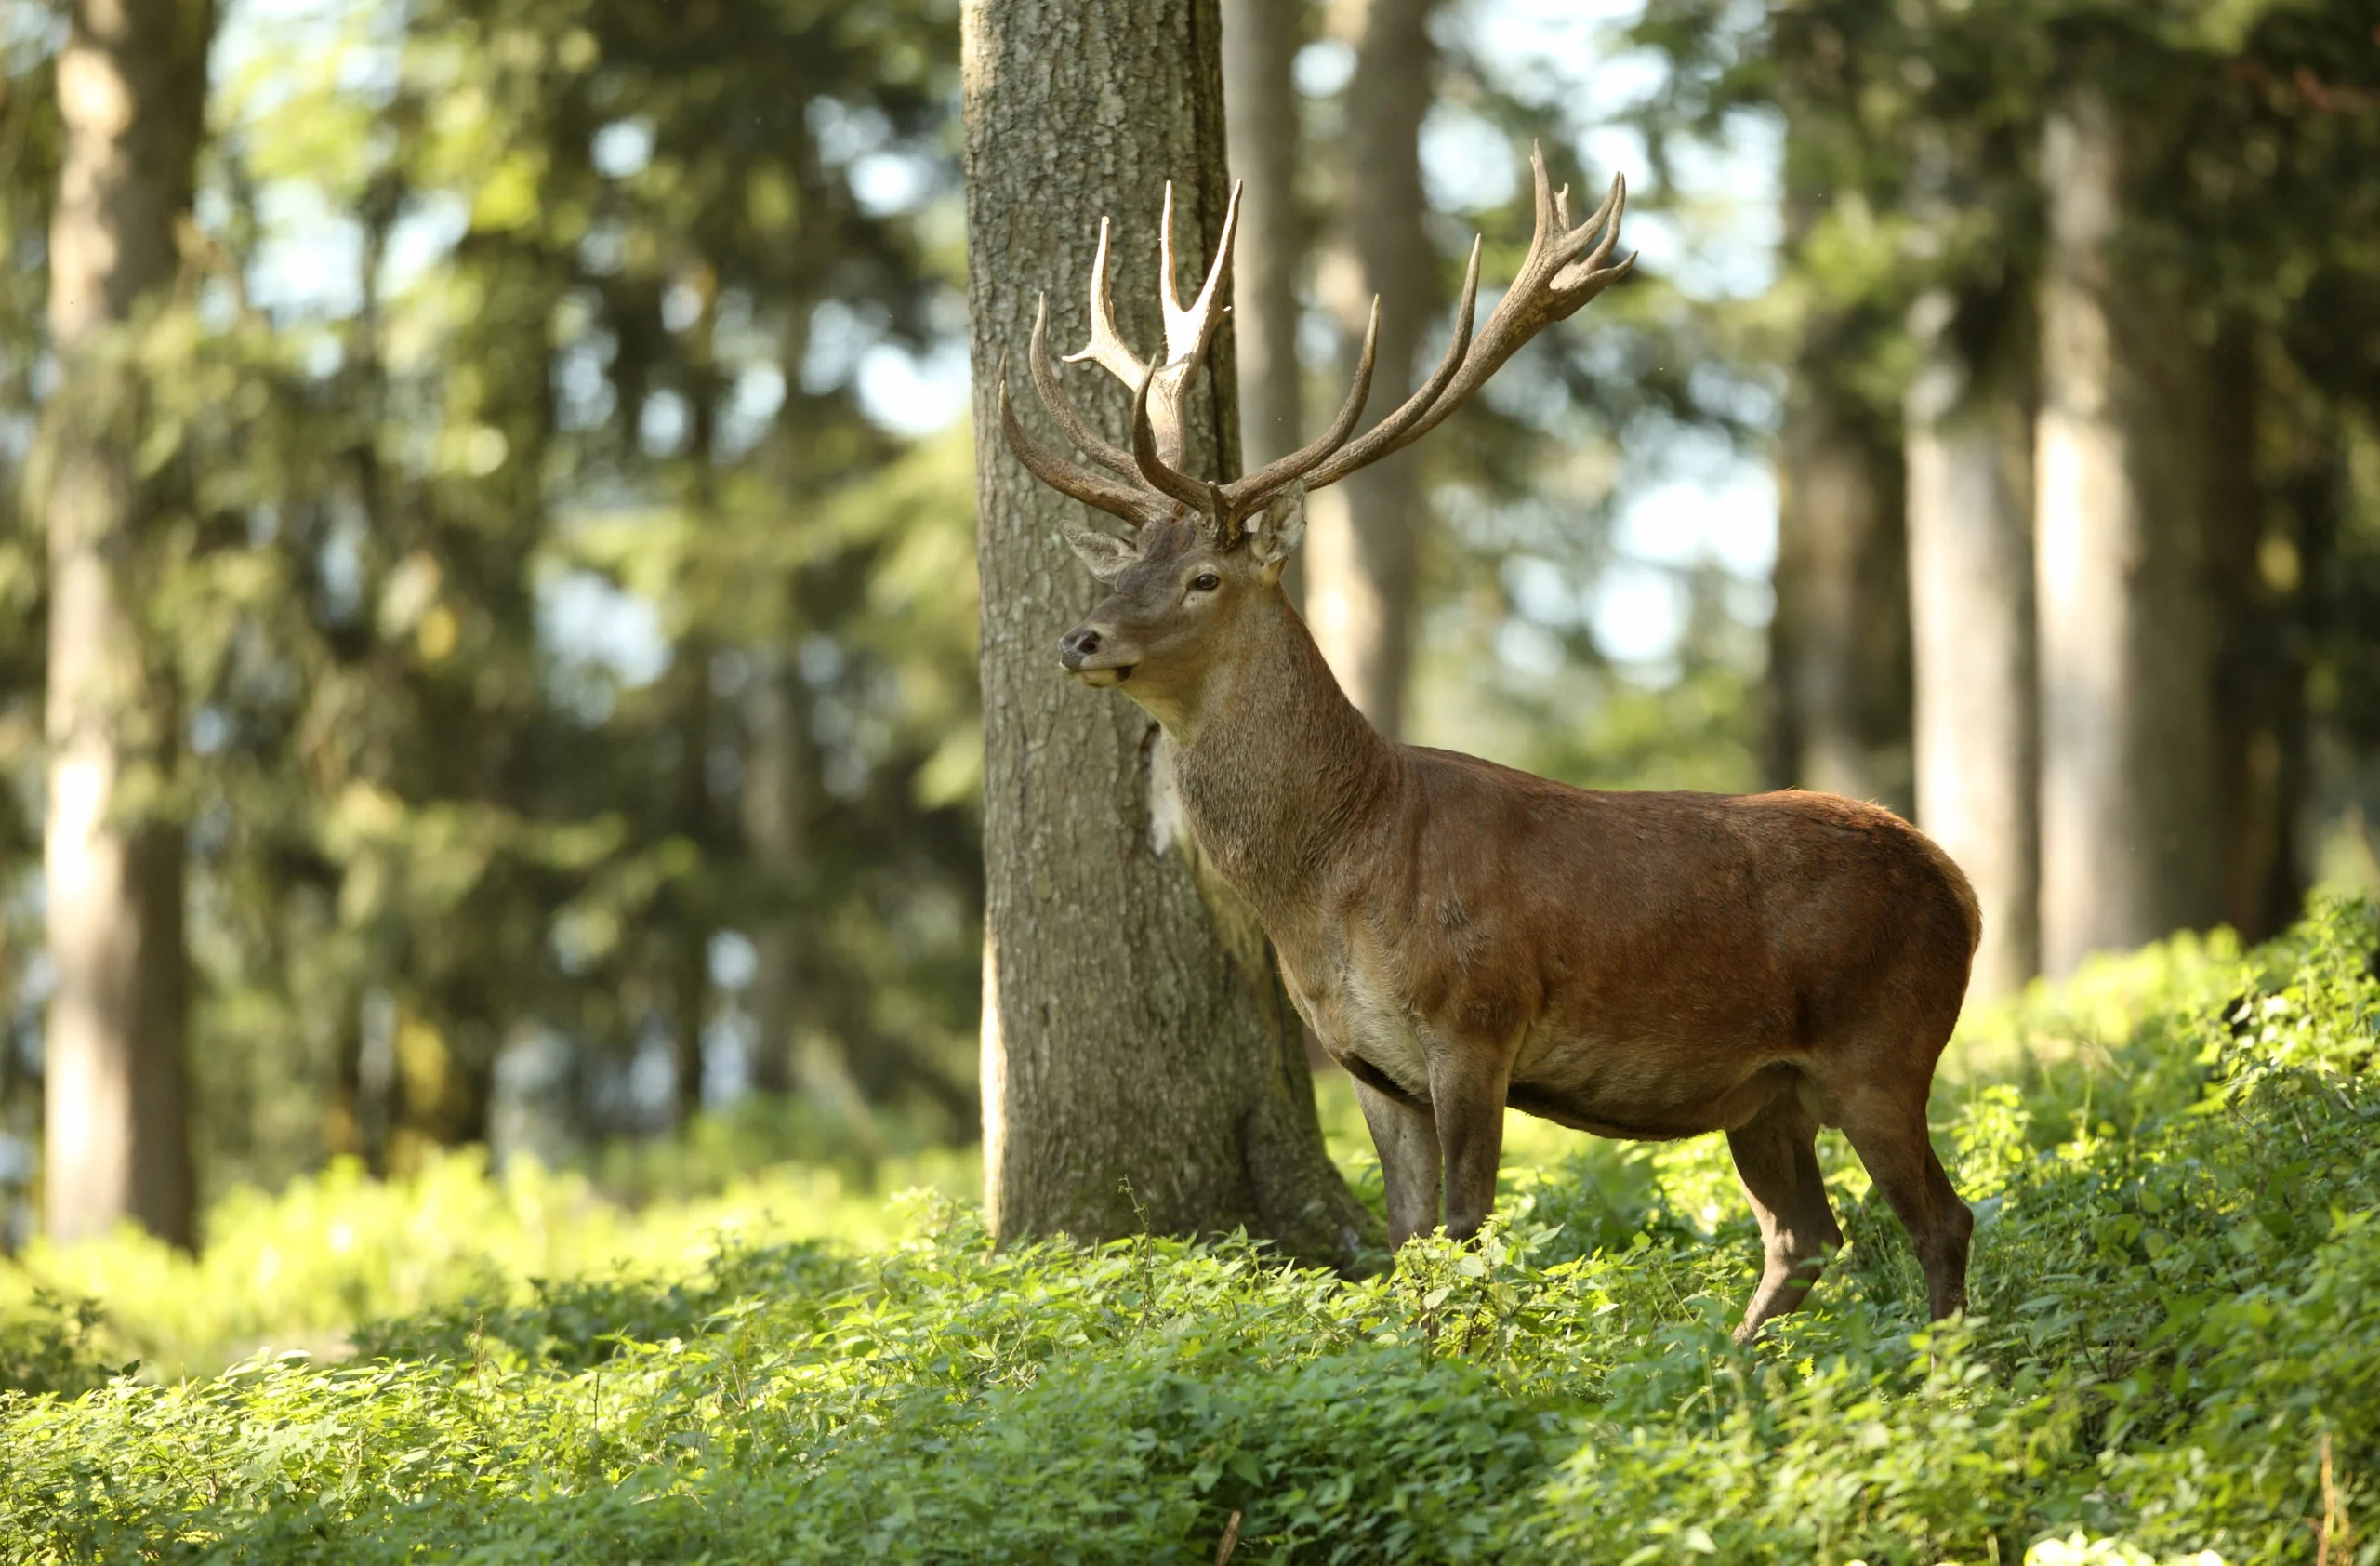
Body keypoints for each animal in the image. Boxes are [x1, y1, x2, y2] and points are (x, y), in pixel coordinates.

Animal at [994, 151, 1978, 1341]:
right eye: (1123, 565)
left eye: (1202, 577)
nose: (1080, 637)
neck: (1331, 880)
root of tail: (1961, 888)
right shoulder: (1368, 1063)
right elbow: (1406, 1240)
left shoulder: (1474, 1022)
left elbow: (1467, 1230)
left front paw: (1474, 1360)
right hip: (1767, 1088)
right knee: (1804, 1235)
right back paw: (1739, 1366)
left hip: (1882, 1047)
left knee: (1939, 1217)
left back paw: (1941, 1367)